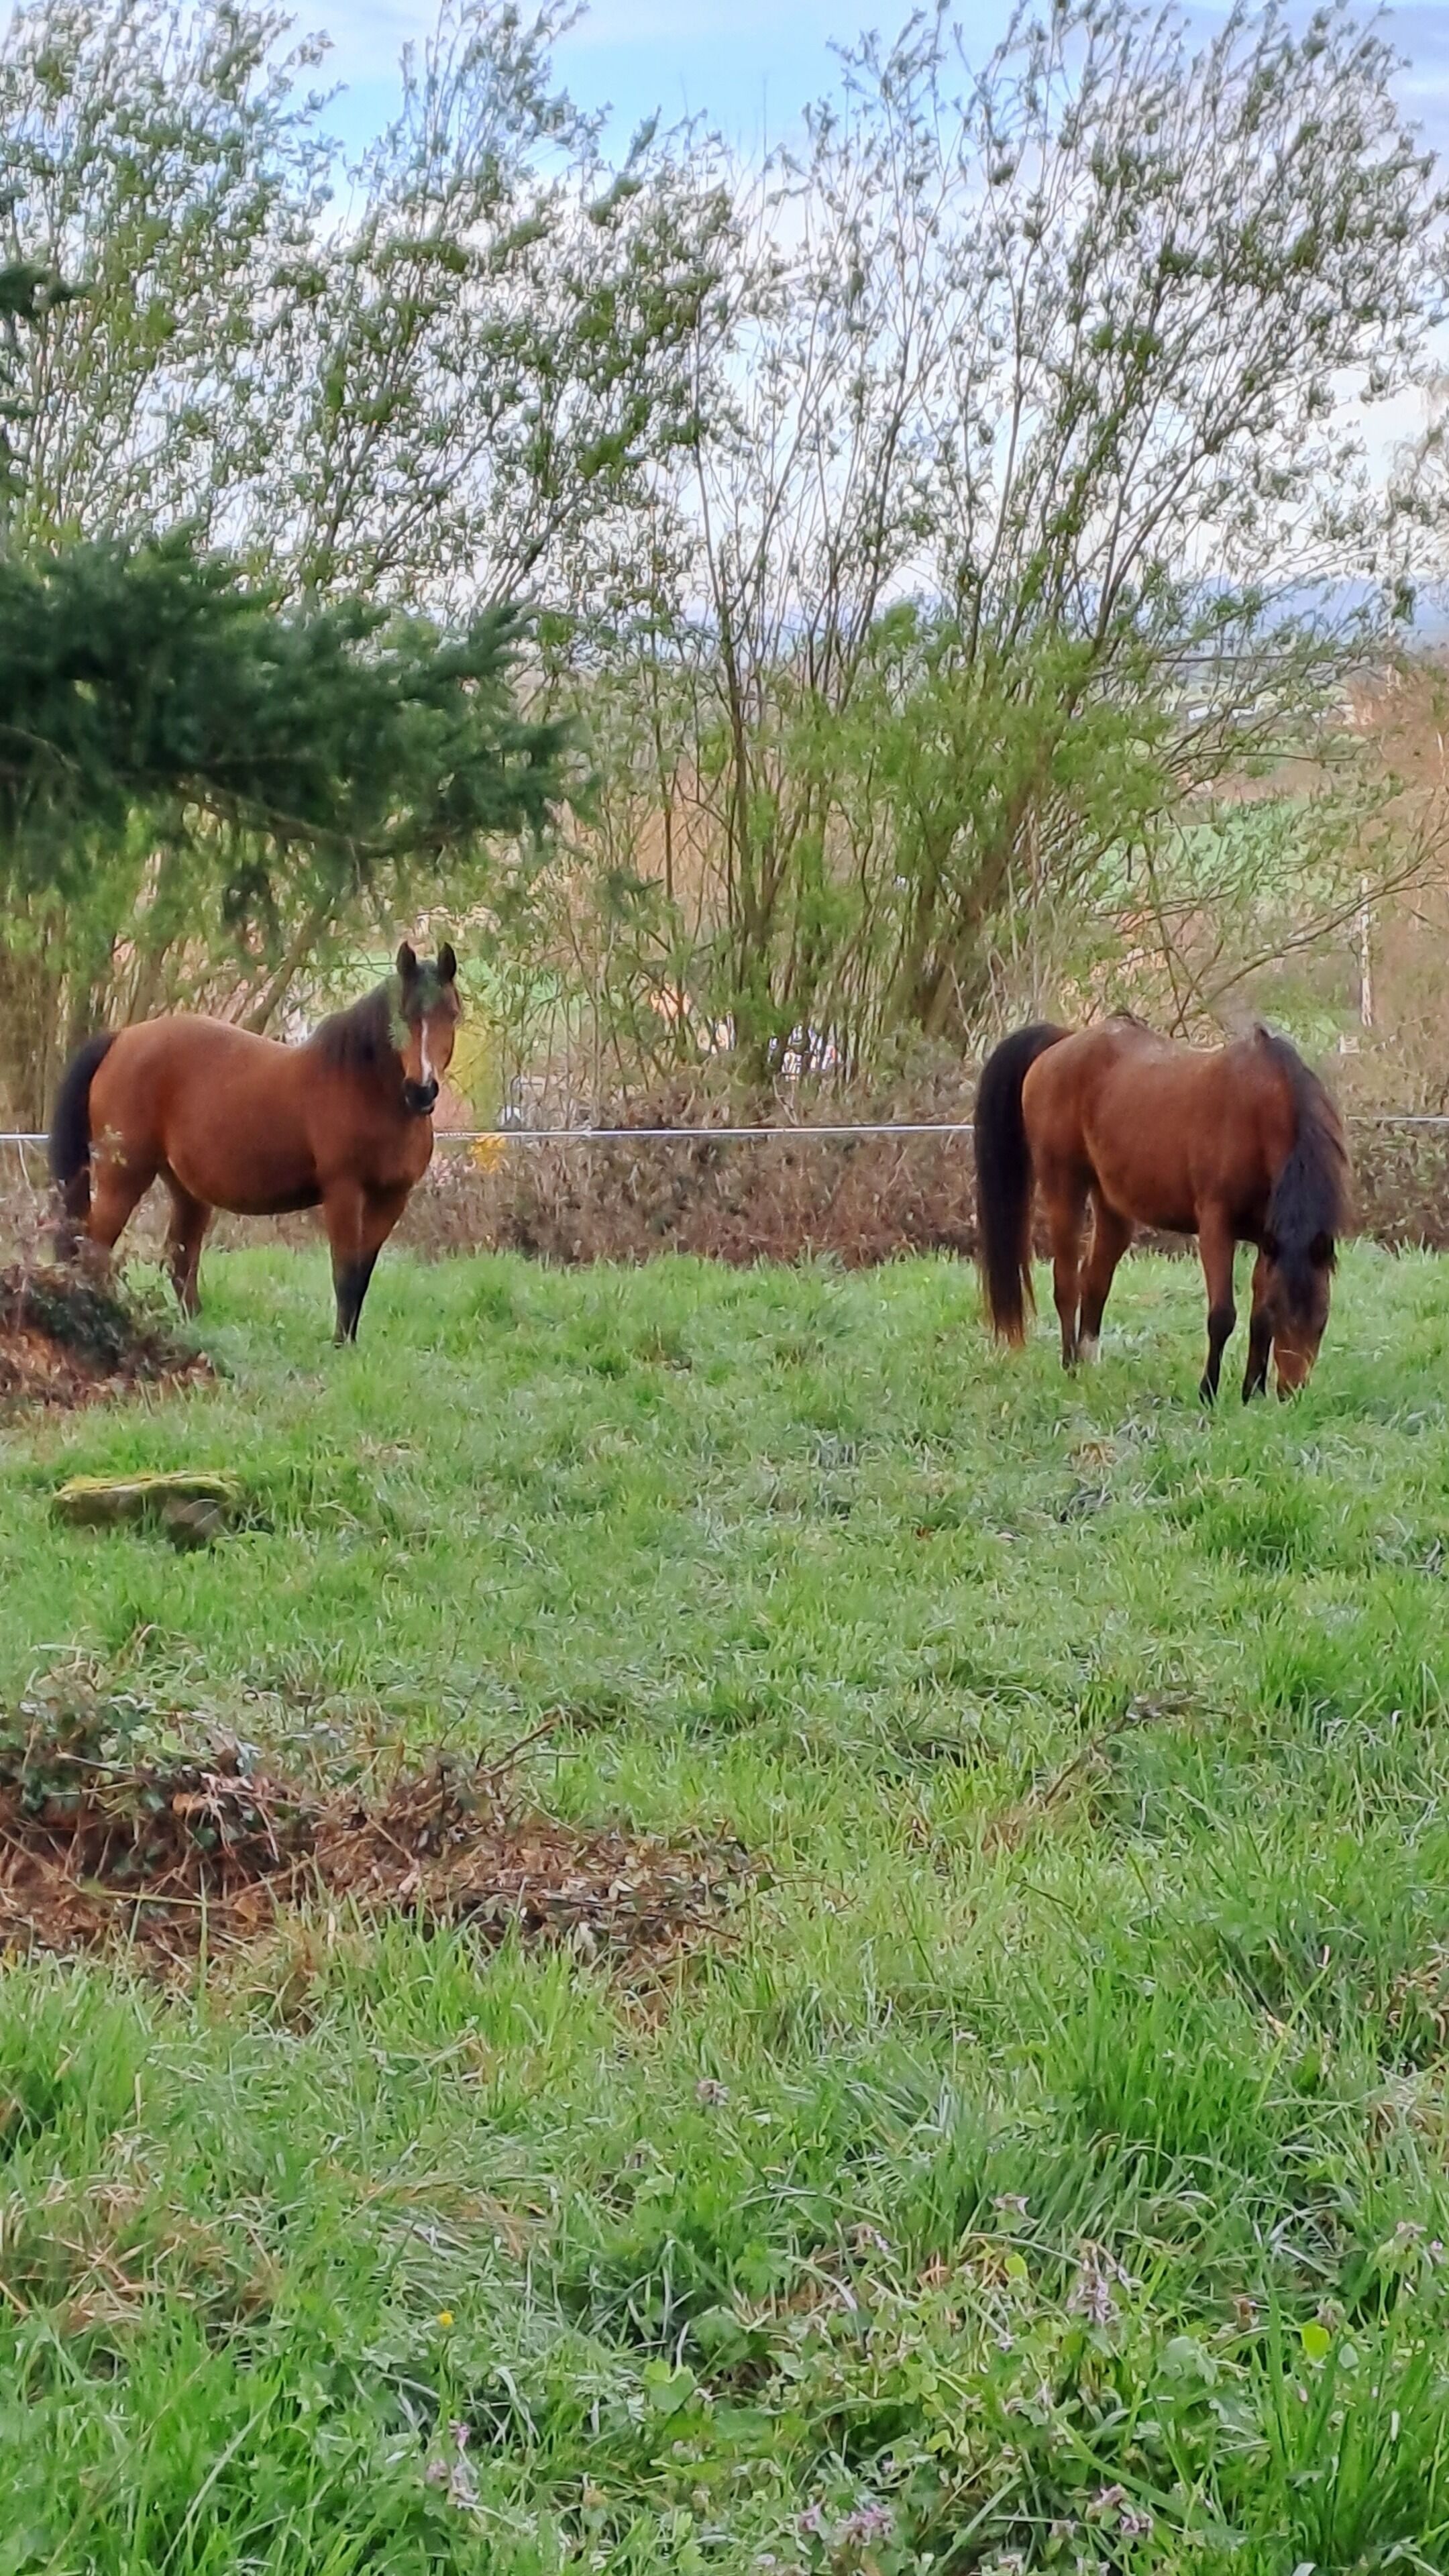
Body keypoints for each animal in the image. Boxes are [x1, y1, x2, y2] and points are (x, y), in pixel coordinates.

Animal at [48, 943, 461, 1344]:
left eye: (452, 1014)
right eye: (403, 1015)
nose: (422, 1090)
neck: (367, 1087)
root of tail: (121, 1038)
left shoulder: (392, 1198)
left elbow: (361, 1275)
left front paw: (350, 1343)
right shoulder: (344, 1192)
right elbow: (344, 1272)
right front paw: (339, 1346)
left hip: (186, 1189)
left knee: (180, 1258)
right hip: (124, 1177)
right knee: (96, 1251)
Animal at [973, 1016, 1350, 1399]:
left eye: (1322, 1318)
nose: (1292, 1392)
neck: (1260, 1111)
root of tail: (1063, 1042)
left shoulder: (1267, 1240)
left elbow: (1259, 1318)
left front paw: (1252, 1393)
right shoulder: (1216, 1227)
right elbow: (1223, 1315)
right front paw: (1208, 1392)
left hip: (1112, 1204)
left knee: (1094, 1280)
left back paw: (1089, 1365)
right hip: (1064, 1188)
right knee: (1066, 1283)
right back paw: (1071, 1368)